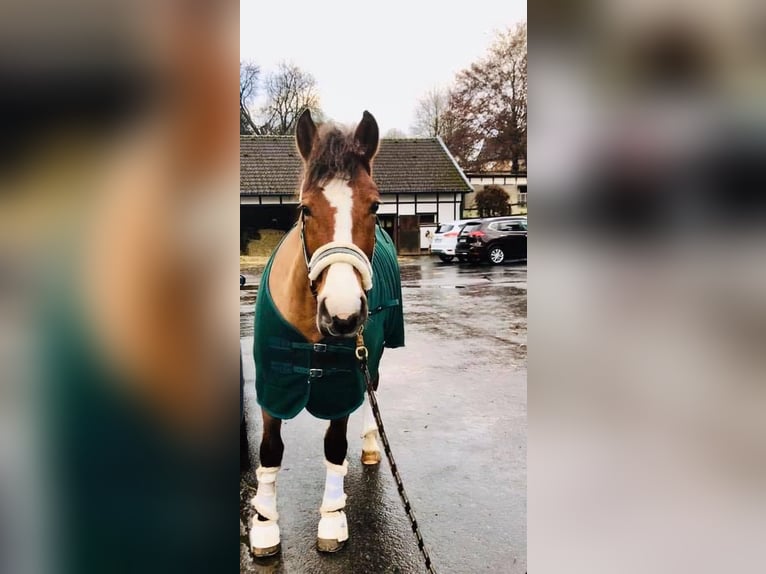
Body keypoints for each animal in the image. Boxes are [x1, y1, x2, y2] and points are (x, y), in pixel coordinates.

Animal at [250, 109, 408, 560]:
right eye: (305, 209)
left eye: (375, 205)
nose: (342, 315)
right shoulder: (272, 383)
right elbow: (270, 450)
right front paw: (264, 524)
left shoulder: (342, 381)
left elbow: (335, 445)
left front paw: (333, 518)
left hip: (374, 354)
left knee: (372, 392)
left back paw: (371, 445)